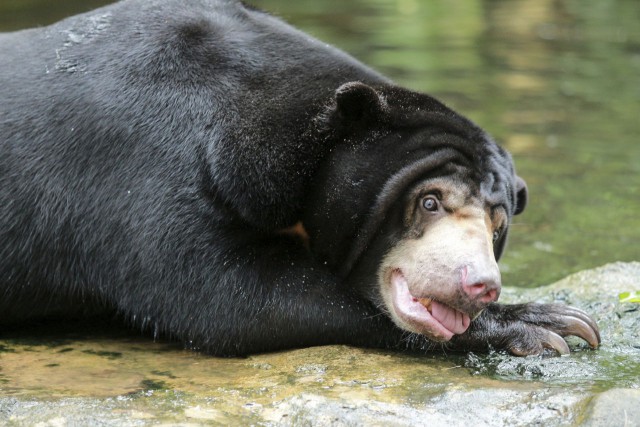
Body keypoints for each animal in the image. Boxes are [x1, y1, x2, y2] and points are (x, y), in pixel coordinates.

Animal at [1, 0, 600, 358]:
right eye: (429, 202)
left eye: (496, 226)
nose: (481, 285)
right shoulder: (142, 165)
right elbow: (224, 296)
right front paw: (544, 325)